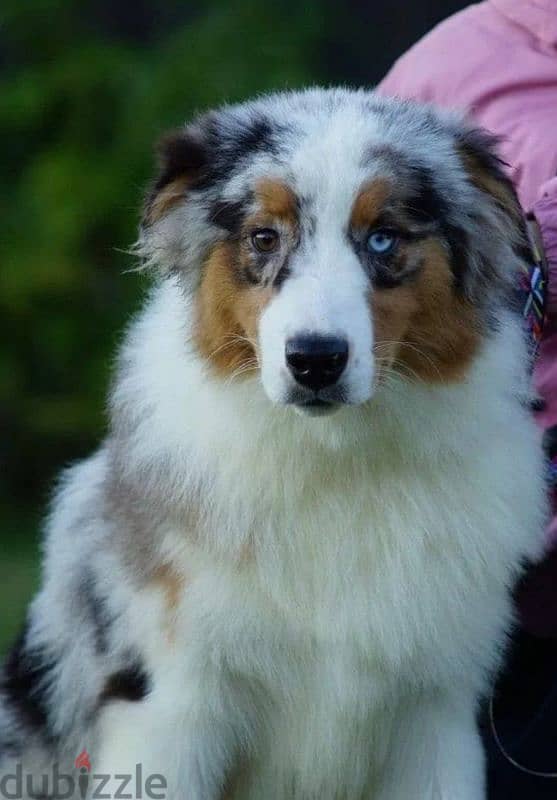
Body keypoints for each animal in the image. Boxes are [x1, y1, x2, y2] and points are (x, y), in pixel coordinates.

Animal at [0, 90, 548, 796]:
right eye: (264, 237)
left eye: (383, 237)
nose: (315, 360)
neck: (333, 459)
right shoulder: (167, 705)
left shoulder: (436, 715)